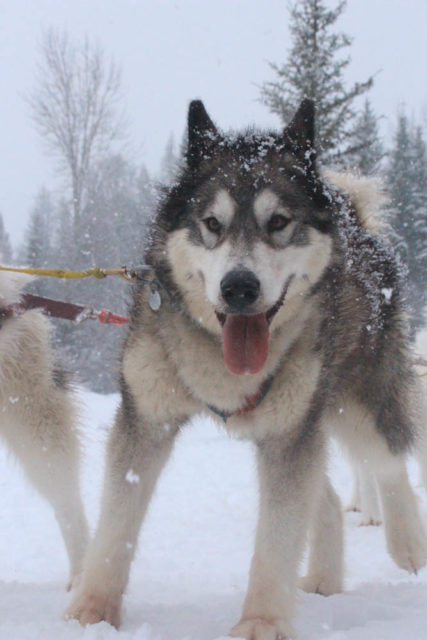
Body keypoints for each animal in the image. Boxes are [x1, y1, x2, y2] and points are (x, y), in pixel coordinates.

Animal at [66, 101, 427, 640]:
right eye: (212, 223)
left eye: (278, 221)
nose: (239, 287)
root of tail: (356, 221)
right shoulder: (146, 420)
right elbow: (114, 527)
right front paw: (91, 613)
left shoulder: (287, 436)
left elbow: (277, 540)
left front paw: (262, 622)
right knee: (325, 495)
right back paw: (324, 579)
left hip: (352, 399)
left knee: (388, 461)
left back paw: (408, 547)